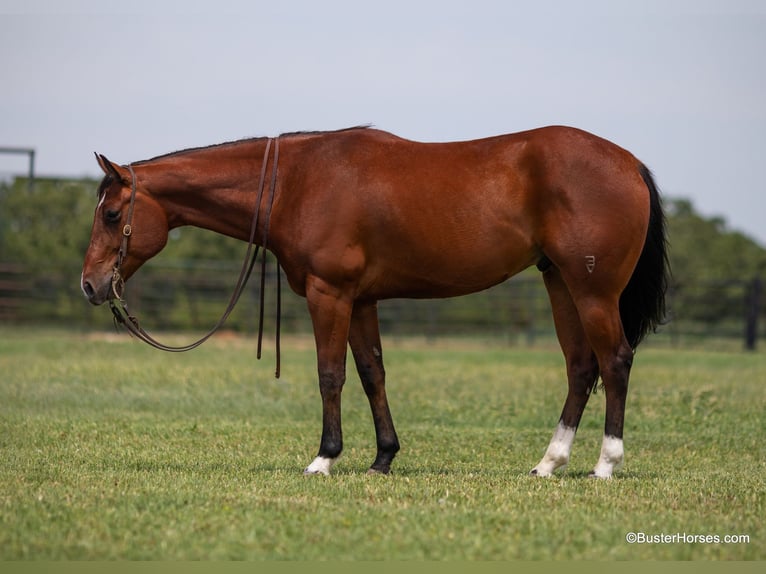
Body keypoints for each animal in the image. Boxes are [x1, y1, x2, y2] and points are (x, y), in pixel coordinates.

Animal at [84, 127, 668, 482]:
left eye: (112, 214)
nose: (90, 285)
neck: (295, 181)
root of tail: (629, 162)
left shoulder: (330, 293)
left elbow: (330, 374)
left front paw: (324, 458)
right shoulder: (362, 299)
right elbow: (371, 373)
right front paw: (383, 457)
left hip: (593, 290)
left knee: (614, 361)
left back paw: (605, 464)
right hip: (560, 284)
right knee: (581, 367)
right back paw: (549, 462)